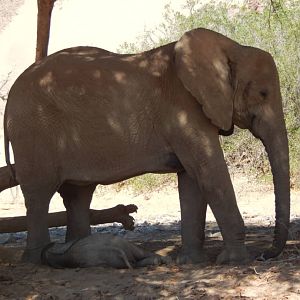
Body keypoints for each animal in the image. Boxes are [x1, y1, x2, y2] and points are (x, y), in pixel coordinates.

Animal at [1, 27, 288, 264]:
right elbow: (208, 171)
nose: (266, 255)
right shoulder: (182, 107)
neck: (231, 47)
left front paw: (191, 262)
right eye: (263, 93)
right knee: (39, 194)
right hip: (33, 133)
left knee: (78, 194)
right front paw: (235, 262)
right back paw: (36, 260)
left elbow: (192, 179)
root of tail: (9, 98)